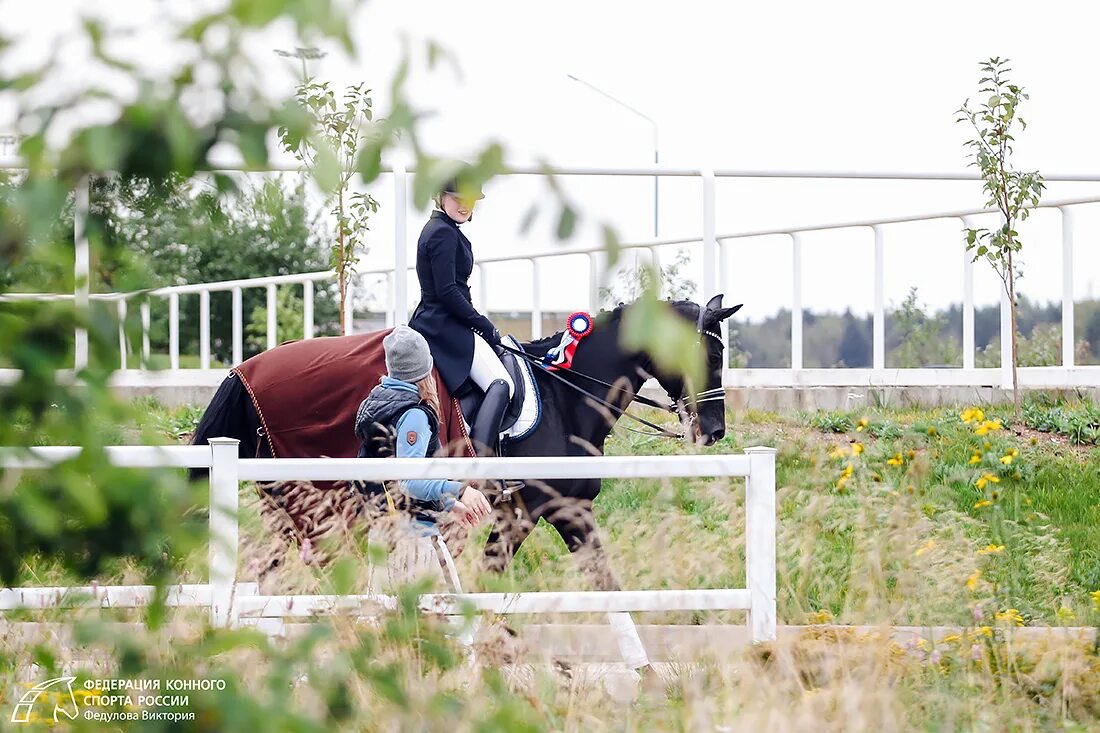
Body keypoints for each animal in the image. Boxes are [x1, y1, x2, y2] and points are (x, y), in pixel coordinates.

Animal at [191, 294, 739, 585]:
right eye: (711, 356)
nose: (713, 431)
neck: (567, 397)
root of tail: (242, 373)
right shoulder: (528, 511)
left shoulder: (567, 509)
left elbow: (605, 582)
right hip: (318, 510)